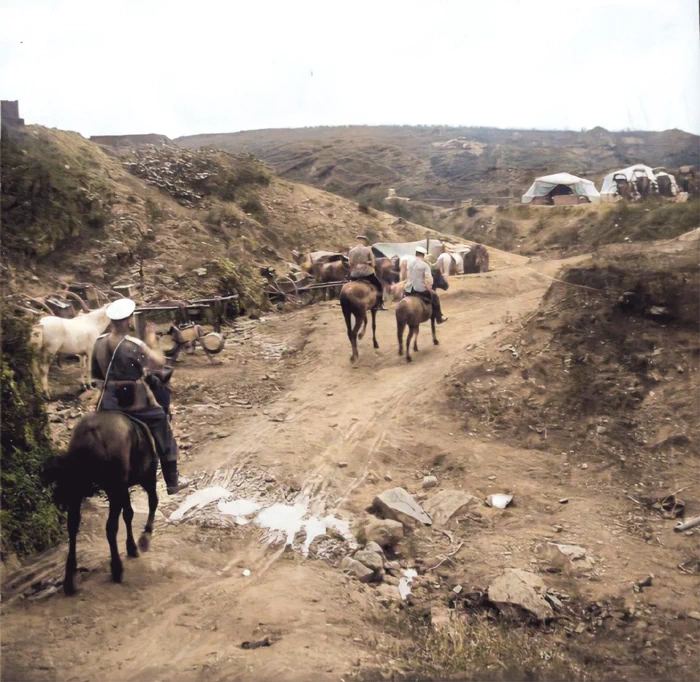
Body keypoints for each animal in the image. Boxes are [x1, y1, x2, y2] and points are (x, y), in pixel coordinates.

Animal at [49, 406, 160, 592]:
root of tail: (92, 432)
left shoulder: (122, 487)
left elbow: (128, 513)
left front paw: (132, 546)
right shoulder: (145, 476)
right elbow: (150, 503)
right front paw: (142, 540)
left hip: (78, 487)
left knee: (73, 524)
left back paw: (69, 578)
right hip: (116, 485)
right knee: (111, 526)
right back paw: (117, 568)